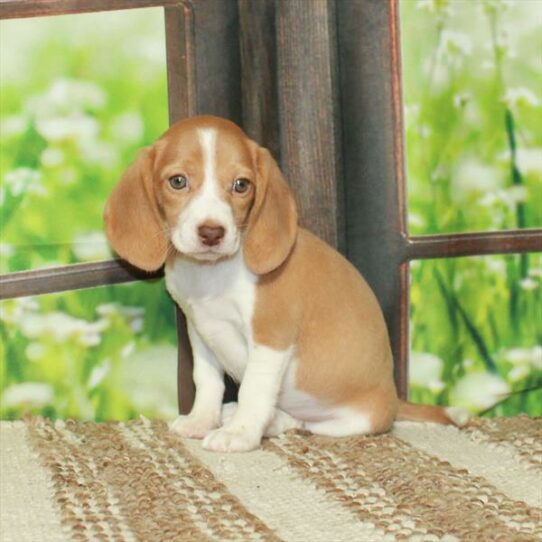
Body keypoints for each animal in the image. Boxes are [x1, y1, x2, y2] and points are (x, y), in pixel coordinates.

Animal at [104, 117, 470, 452]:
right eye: (178, 181)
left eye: (241, 185)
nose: (212, 232)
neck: (214, 275)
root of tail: (394, 397)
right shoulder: (200, 332)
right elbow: (207, 381)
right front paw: (201, 420)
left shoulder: (270, 339)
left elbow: (253, 390)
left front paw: (240, 434)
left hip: (353, 420)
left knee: (302, 423)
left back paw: (264, 422)